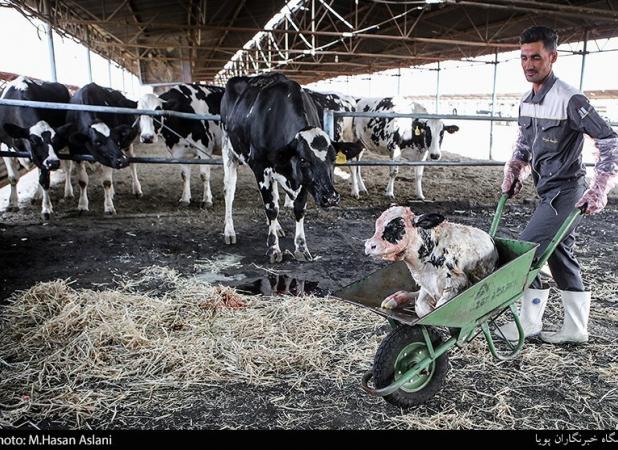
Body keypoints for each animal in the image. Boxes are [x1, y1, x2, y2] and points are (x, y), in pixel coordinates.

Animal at [0, 76, 71, 220]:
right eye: (33, 140)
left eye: (55, 140)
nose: (54, 163)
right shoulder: (5, 147)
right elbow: (13, 178)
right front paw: (13, 204)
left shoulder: (47, 158)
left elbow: (45, 180)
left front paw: (46, 209)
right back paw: (37, 195)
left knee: (68, 167)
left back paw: (68, 192)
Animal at [66, 83, 141, 216]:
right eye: (97, 142)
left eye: (116, 139)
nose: (122, 160)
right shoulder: (76, 153)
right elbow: (82, 181)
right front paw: (82, 205)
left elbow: (106, 181)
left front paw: (109, 207)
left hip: (127, 145)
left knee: (132, 164)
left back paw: (136, 189)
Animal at [218, 73, 342, 264]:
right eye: (304, 160)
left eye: (333, 159)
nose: (331, 198)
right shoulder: (261, 168)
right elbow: (271, 208)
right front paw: (273, 249)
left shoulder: (302, 180)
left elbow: (298, 208)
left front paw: (301, 248)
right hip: (228, 149)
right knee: (229, 191)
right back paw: (229, 231)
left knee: (274, 195)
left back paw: (277, 227)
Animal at [364, 207, 498, 316]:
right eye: (377, 226)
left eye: (398, 226)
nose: (369, 246)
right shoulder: (426, 285)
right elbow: (420, 307)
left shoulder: (457, 283)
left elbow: (439, 307)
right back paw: (395, 298)